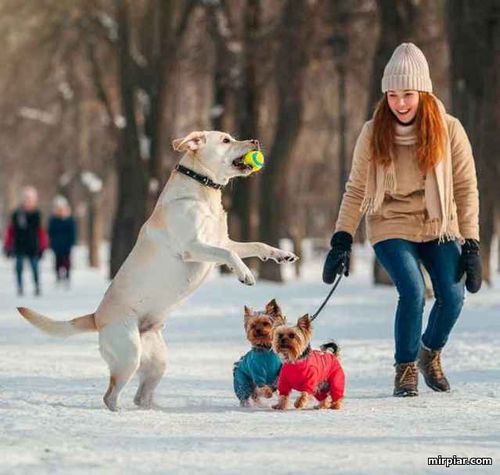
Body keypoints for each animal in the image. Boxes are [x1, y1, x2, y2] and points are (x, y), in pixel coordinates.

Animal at [18, 131, 296, 412]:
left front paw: (281, 254)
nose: (255, 141)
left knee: (141, 395)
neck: (203, 190)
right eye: (226, 140)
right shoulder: (192, 247)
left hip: (158, 361)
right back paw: (119, 412)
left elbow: (255, 246)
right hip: (128, 355)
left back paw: (154, 409)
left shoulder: (221, 241)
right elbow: (230, 255)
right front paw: (245, 273)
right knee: (110, 395)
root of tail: (96, 317)